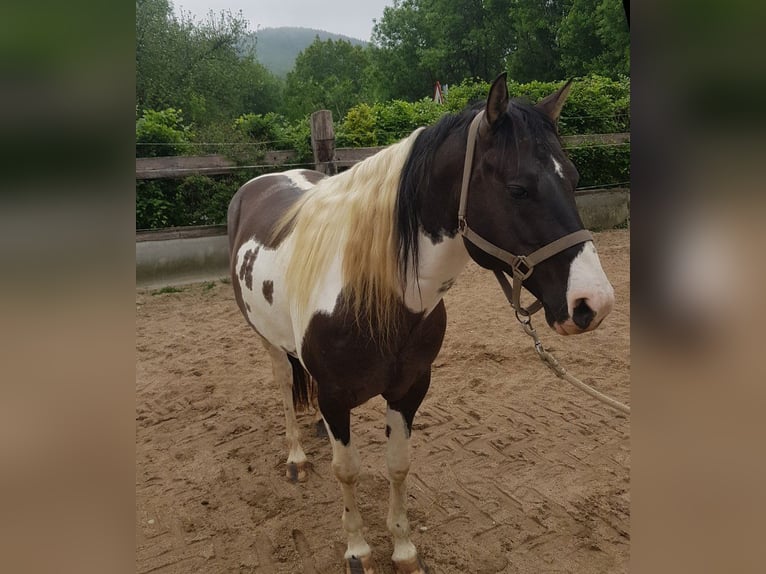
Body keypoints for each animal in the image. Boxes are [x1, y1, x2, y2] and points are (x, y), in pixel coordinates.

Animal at [227, 73, 615, 574]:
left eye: (573, 179)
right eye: (518, 189)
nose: (593, 302)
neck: (375, 293)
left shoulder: (410, 389)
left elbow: (398, 465)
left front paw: (404, 549)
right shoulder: (334, 395)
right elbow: (346, 471)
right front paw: (358, 551)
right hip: (268, 342)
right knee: (283, 383)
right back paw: (296, 456)